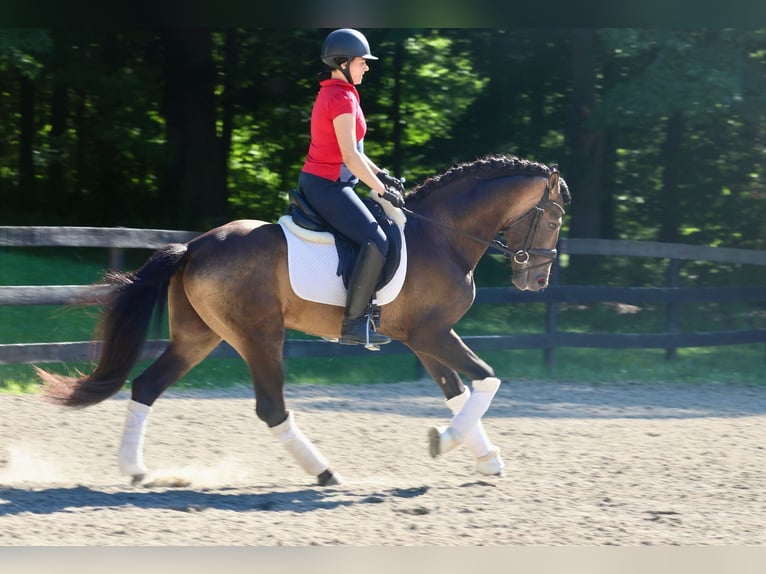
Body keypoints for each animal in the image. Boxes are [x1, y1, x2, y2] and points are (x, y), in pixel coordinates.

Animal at [36, 155, 570, 487]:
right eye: (553, 218)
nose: (538, 279)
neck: (441, 235)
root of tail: (194, 247)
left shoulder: (423, 337)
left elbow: (459, 390)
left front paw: (486, 457)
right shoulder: (432, 332)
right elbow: (487, 379)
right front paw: (447, 440)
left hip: (198, 337)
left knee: (147, 386)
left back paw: (135, 469)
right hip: (260, 337)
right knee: (272, 407)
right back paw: (326, 473)